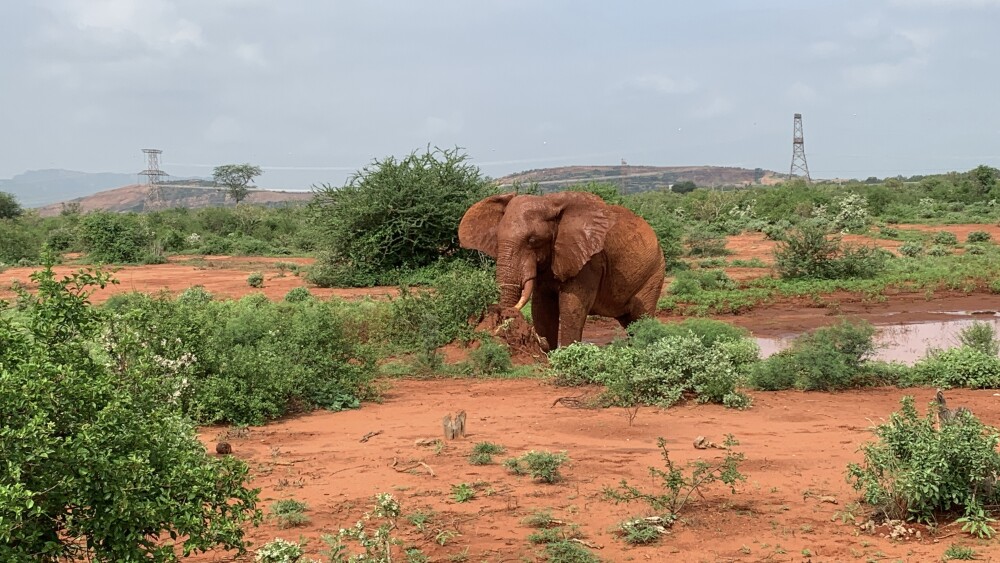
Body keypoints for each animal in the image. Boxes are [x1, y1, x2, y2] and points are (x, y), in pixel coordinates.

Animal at [458, 191, 665, 350]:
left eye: (533, 240)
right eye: (497, 239)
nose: (539, 341)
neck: (549, 203)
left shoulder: (590, 260)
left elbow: (572, 305)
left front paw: (566, 355)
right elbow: (542, 306)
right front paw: (549, 353)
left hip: (654, 272)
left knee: (641, 317)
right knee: (630, 322)